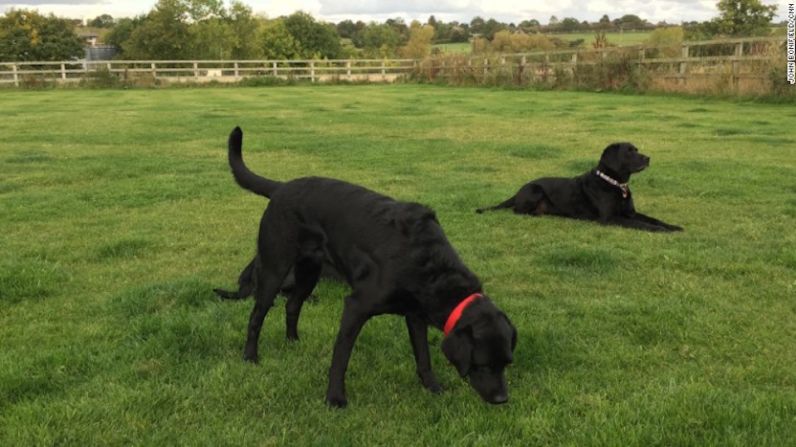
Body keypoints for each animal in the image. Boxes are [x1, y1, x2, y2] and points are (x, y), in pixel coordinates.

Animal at [218, 127, 516, 410]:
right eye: (483, 364)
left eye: (506, 363)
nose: (502, 399)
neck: (429, 265)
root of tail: (281, 188)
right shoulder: (356, 307)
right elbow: (341, 358)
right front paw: (335, 398)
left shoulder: (415, 314)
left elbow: (423, 355)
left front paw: (432, 387)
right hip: (275, 268)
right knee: (257, 315)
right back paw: (251, 356)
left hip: (309, 271)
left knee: (292, 305)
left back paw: (293, 342)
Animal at [476, 144, 680, 233]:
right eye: (629, 151)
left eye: (636, 149)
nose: (648, 158)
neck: (614, 183)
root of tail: (518, 191)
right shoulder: (610, 218)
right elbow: (642, 224)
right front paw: (661, 230)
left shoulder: (630, 213)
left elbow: (653, 219)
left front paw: (673, 226)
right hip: (535, 190)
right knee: (517, 211)